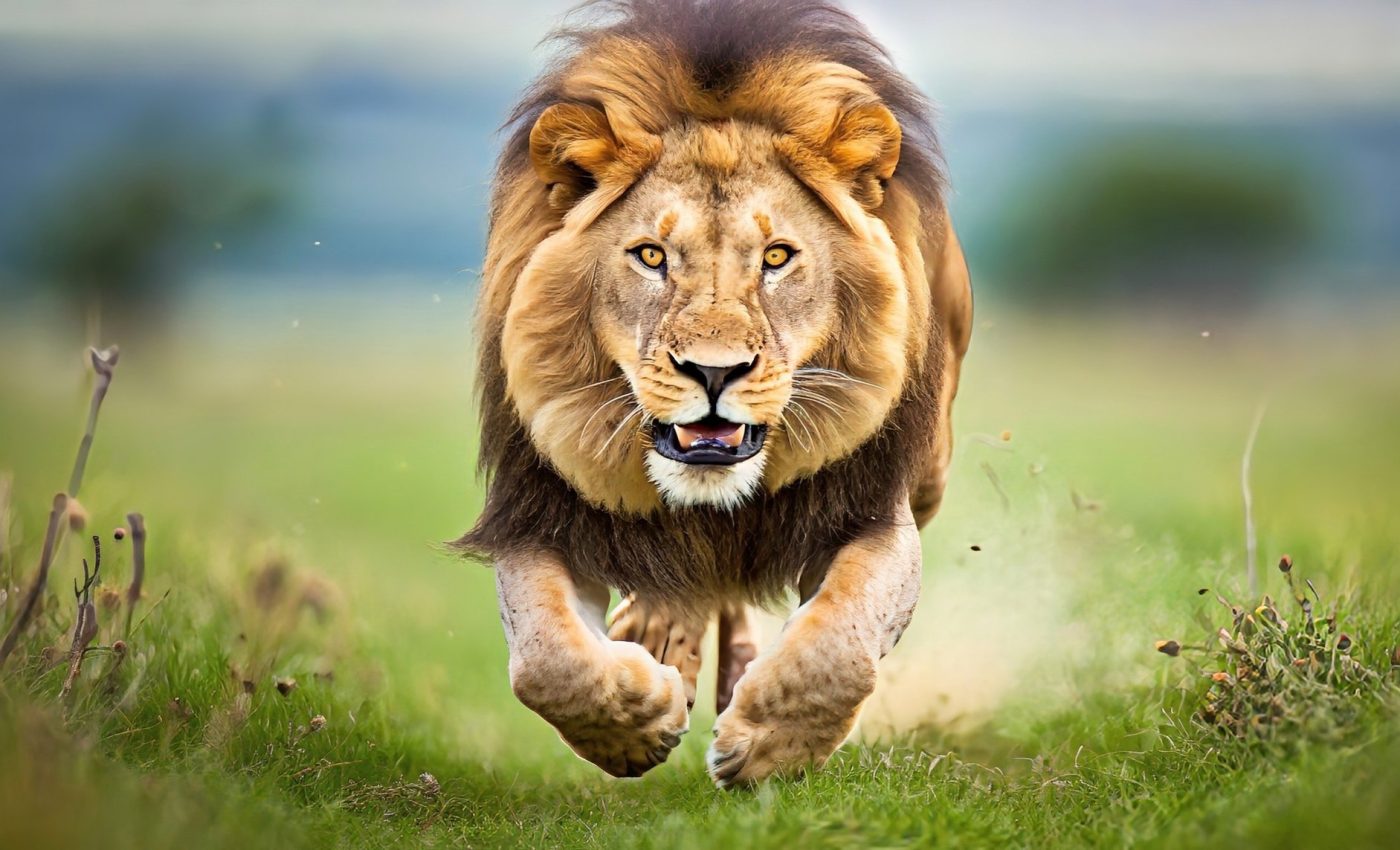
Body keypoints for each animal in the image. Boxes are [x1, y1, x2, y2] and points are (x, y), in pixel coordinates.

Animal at [457, 0, 972, 787]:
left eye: (777, 258)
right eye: (651, 256)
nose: (714, 372)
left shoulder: (872, 509)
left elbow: (837, 645)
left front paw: (766, 751)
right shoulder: (538, 509)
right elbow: (548, 662)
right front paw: (635, 727)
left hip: (934, 471)